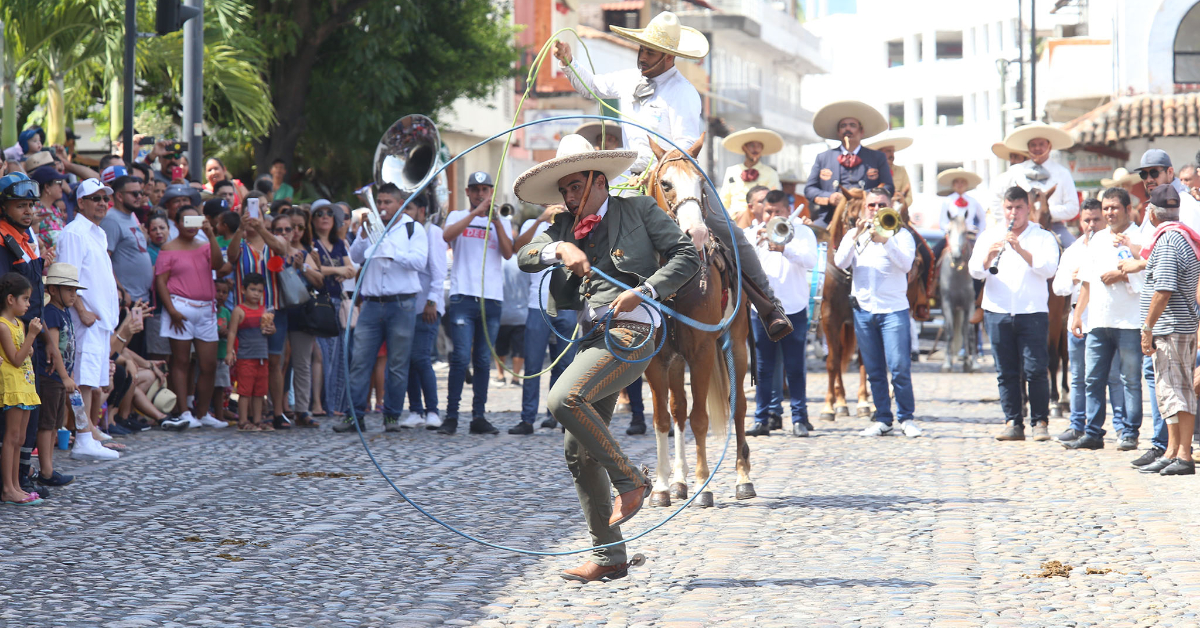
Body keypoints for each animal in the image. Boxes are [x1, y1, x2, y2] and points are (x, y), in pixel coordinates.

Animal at [643, 135, 753, 509]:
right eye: (665, 183)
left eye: (702, 184)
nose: (697, 235)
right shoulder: (655, 359)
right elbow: (663, 419)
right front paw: (662, 487)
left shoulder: (702, 351)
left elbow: (701, 419)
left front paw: (704, 487)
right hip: (677, 361)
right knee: (677, 411)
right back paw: (678, 481)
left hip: (737, 345)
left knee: (738, 407)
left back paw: (743, 479)